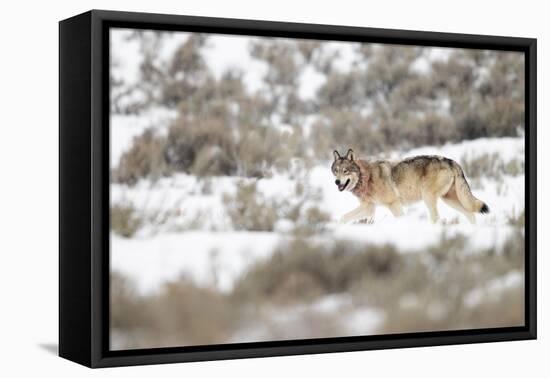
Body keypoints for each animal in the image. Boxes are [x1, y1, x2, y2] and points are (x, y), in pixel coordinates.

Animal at [332, 148, 492, 224]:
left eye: (345, 171)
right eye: (336, 171)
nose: (337, 182)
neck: (365, 177)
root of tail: (451, 161)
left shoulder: (393, 204)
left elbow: (401, 218)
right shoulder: (369, 208)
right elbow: (343, 218)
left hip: (429, 198)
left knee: (437, 219)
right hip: (449, 200)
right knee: (470, 214)